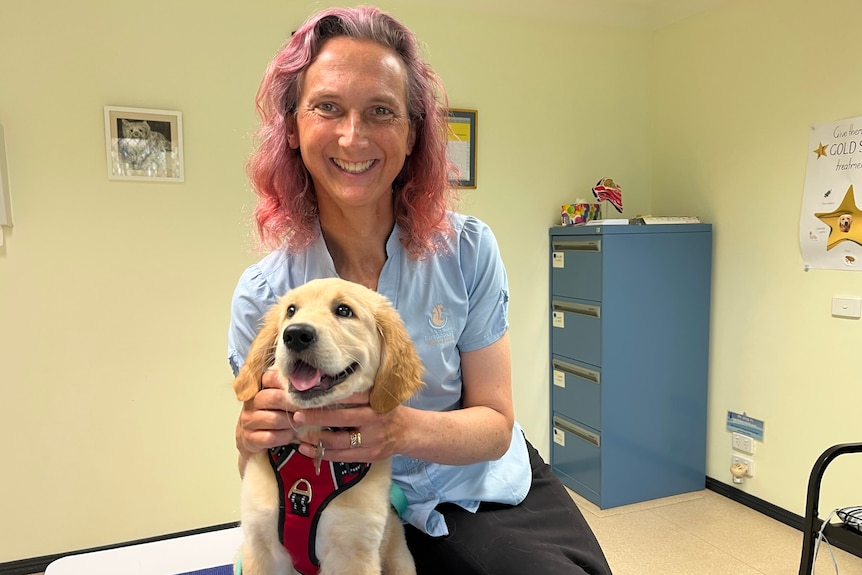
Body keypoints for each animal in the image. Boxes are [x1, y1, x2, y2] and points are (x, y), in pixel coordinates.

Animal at [233, 276, 426, 572]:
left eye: (344, 310)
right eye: (291, 310)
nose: (295, 335)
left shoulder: (355, 554)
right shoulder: (260, 547)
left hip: (399, 558)